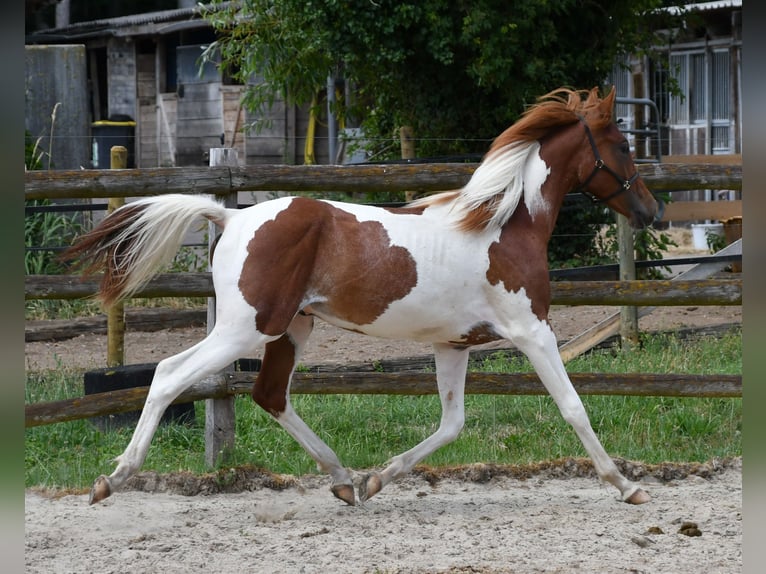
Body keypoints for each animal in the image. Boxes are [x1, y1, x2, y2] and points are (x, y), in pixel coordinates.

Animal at [64, 86, 662, 507]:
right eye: (623, 145)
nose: (651, 211)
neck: (505, 224)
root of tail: (230, 216)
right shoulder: (532, 330)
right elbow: (574, 406)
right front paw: (627, 485)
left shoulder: (453, 345)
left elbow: (451, 423)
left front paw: (379, 479)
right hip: (246, 327)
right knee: (170, 375)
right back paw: (112, 478)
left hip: (291, 327)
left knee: (270, 394)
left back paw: (344, 480)